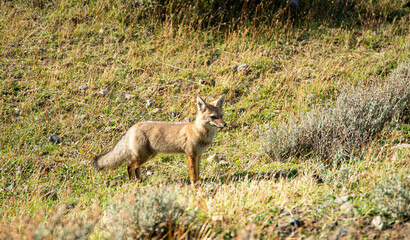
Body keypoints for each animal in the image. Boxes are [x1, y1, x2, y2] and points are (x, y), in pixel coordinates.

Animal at [91, 94, 226, 185]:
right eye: (213, 117)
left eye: (221, 116)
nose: (225, 124)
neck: (200, 133)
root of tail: (134, 126)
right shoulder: (190, 154)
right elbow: (193, 174)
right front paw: (195, 187)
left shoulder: (198, 155)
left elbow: (197, 173)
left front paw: (198, 184)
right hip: (143, 157)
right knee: (129, 166)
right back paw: (133, 183)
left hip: (147, 157)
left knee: (136, 169)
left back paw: (140, 182)